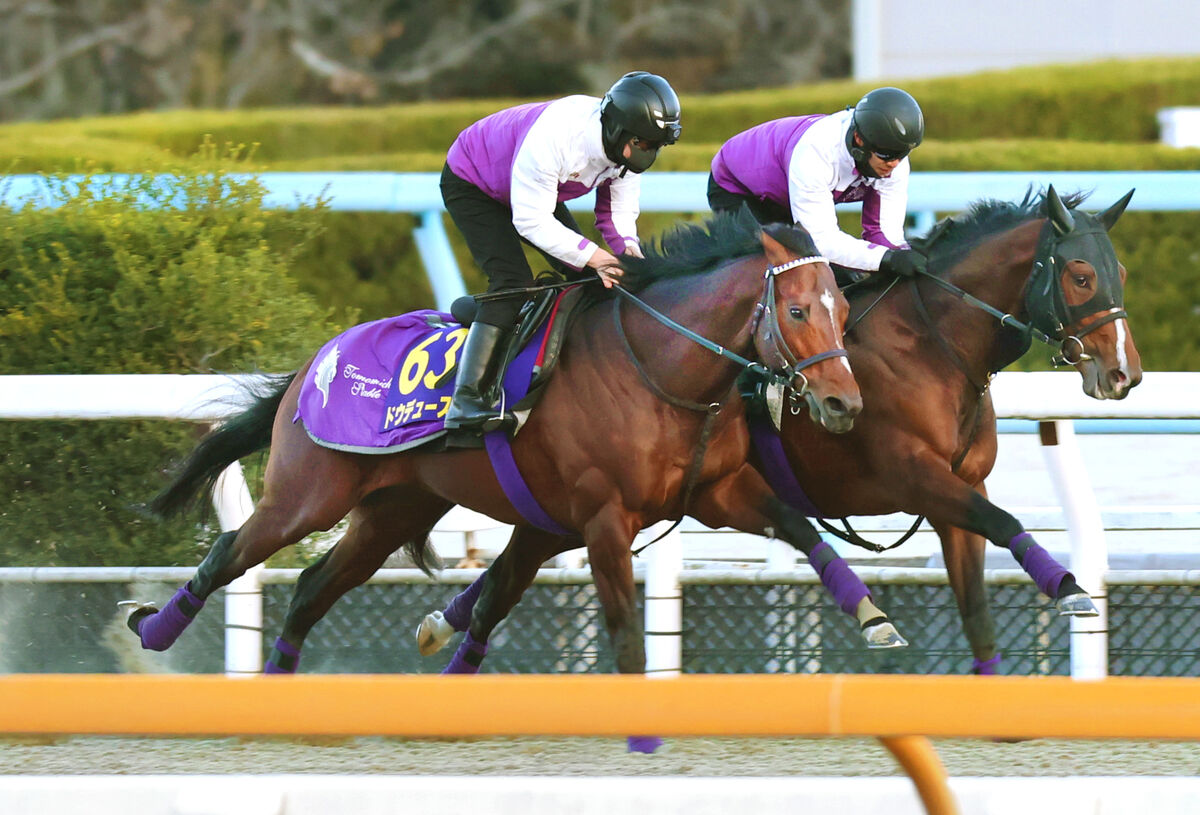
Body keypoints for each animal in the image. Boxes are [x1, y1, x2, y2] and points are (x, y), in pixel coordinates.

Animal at [131, 210, 888, 696]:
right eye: (797, 311)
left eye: (842, 310)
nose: (844, 403)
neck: (660, 369)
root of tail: (313, 364)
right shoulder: (604, 518)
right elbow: (623, 629)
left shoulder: (715, 490)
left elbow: (798, 525)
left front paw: (873, 617)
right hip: (309, 493)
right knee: (230, 551)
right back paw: (156, 629)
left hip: (395, 509)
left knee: (314, 587)